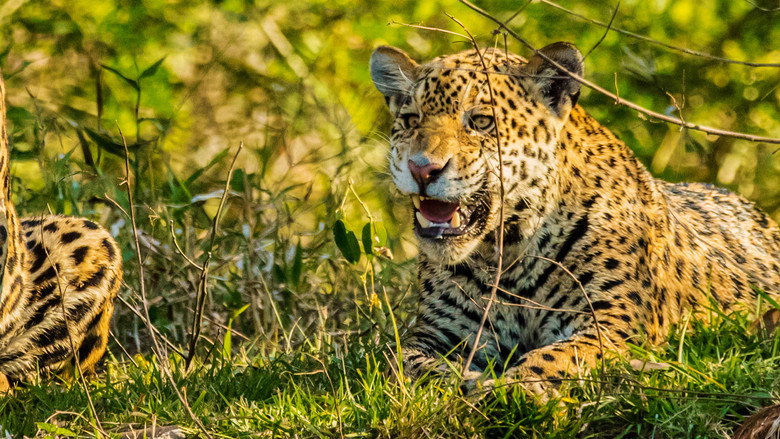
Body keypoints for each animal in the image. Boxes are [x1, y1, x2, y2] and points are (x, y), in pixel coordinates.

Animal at [369, 42, 780, 397]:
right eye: (410, 120)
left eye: (481, 121)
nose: (422, 169)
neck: (509, 250)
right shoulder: (438, 333)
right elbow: (405, 362)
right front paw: (468, 380)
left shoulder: (612, 321)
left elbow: (557, 357)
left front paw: (514, 389)